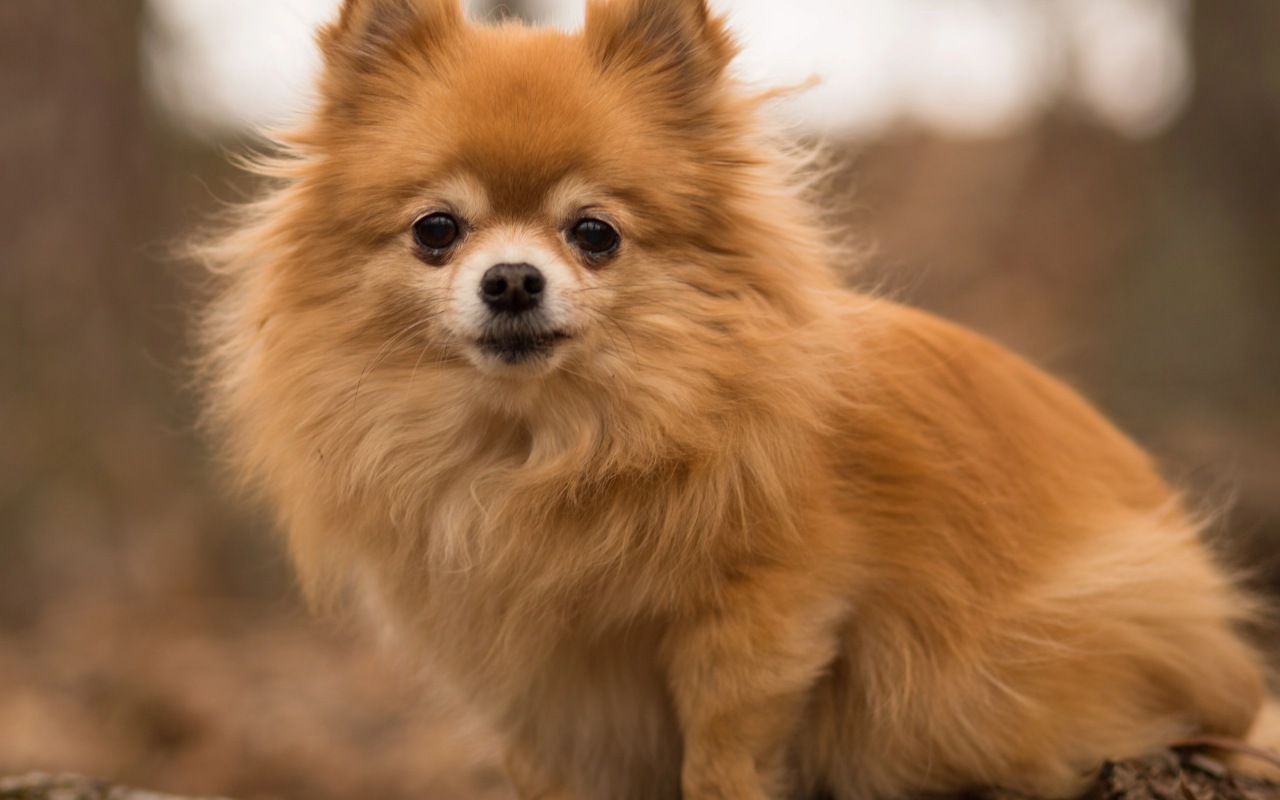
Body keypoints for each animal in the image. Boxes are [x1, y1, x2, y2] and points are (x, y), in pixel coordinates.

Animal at [194, 1, 1274, 798]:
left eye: (593, 233)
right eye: (435, 230)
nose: (510, 280)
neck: (541, 442)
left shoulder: (765, 617)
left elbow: (723, 746)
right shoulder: (533, 680)